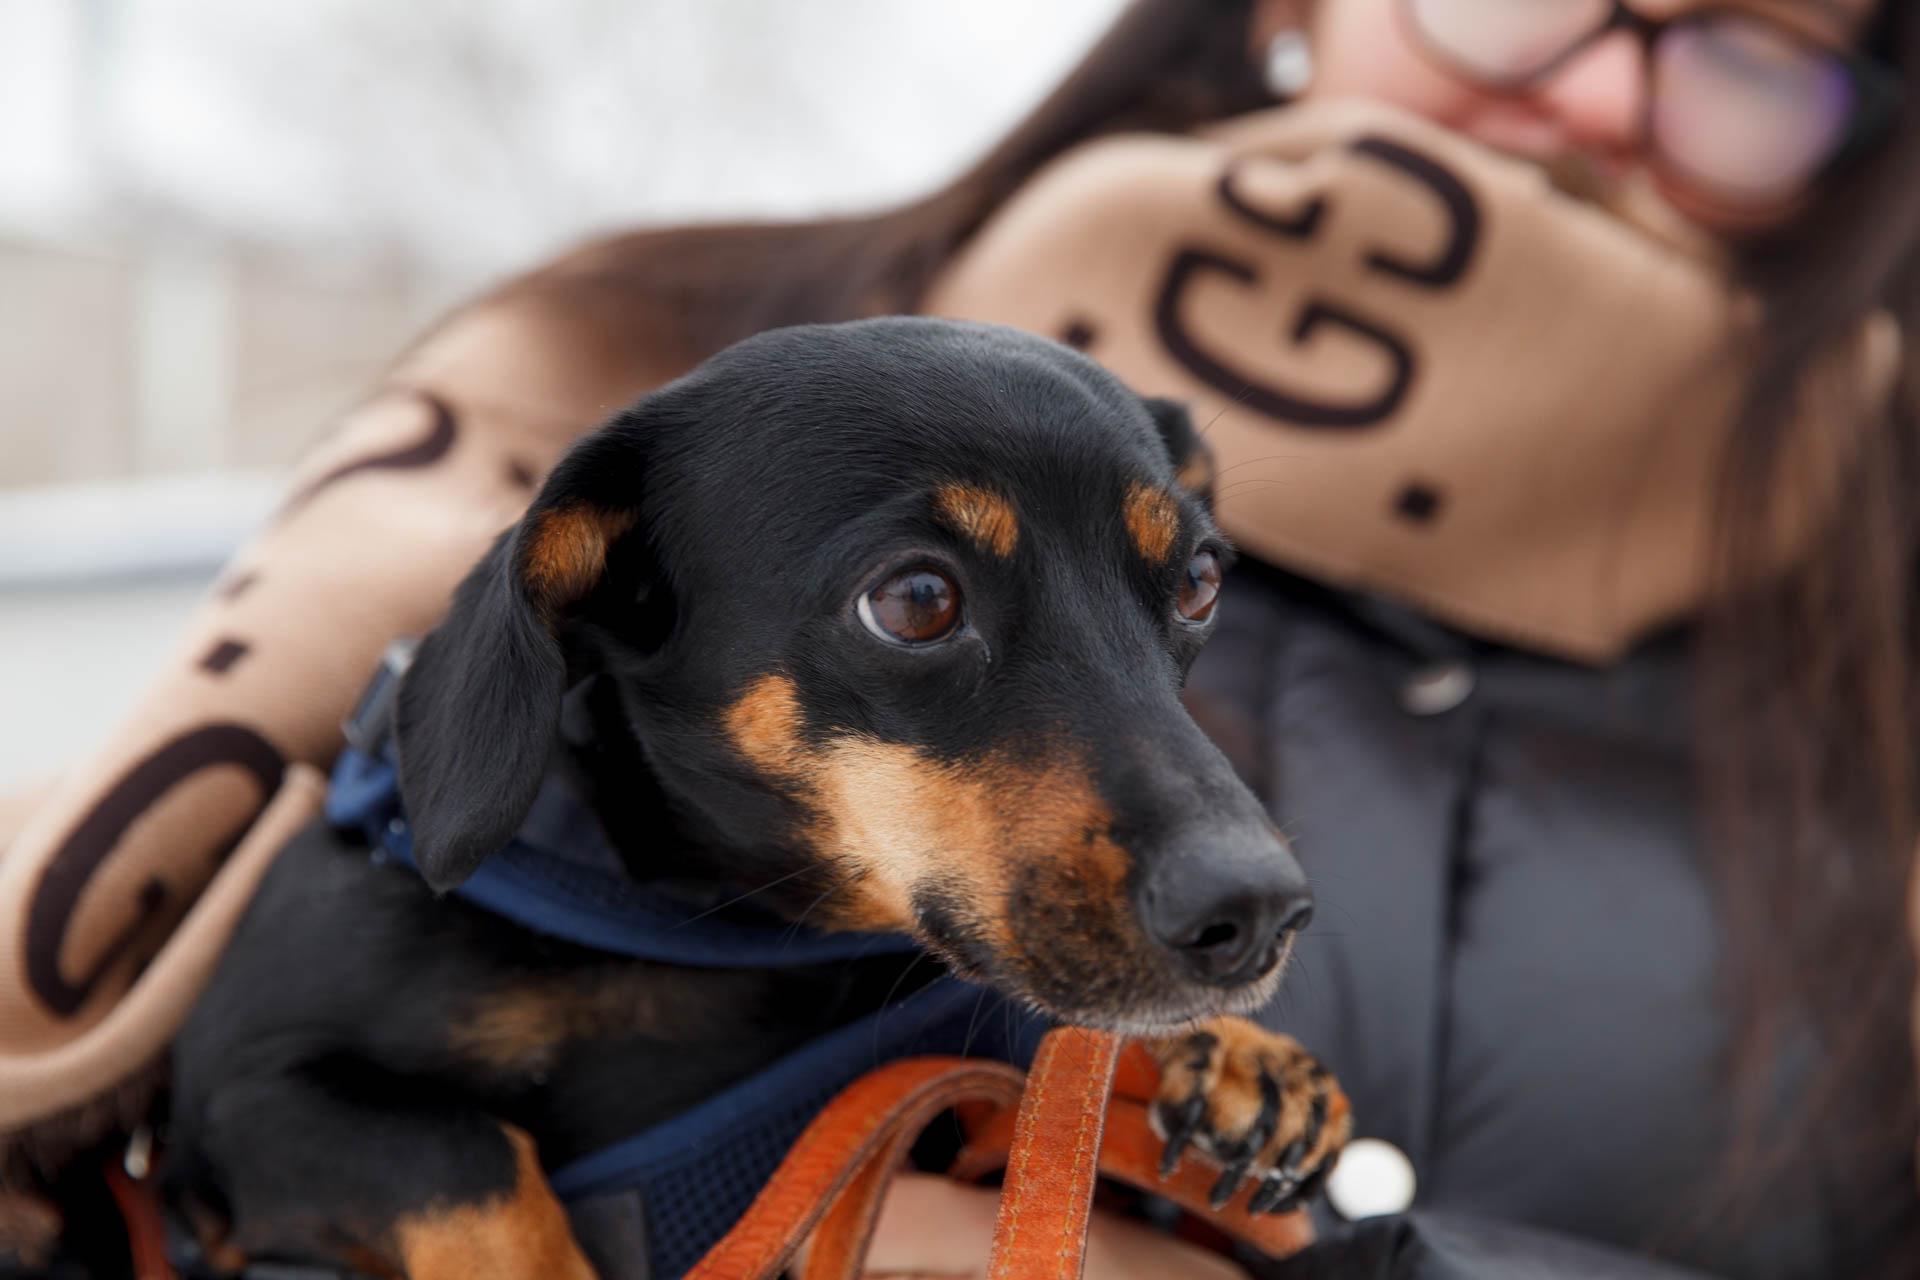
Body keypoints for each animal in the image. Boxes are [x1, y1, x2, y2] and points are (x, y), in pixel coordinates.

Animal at [168, 314, 1351, 1274]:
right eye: (916, 600)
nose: (1259, 914)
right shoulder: (244, 1090)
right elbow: (473, 1160)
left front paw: (1227, 1055)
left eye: (1200, 580)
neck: (712, 930)